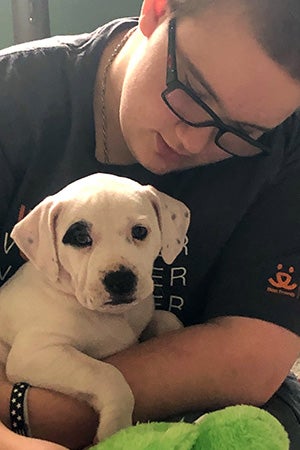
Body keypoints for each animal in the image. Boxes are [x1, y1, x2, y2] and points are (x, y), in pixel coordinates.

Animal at [0, 174, 190, 442]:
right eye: (81, 239)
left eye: (139, 231)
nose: (120, 279)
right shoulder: (36, 353)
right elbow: (107, 374)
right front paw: (115, 430)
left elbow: (168, 319)